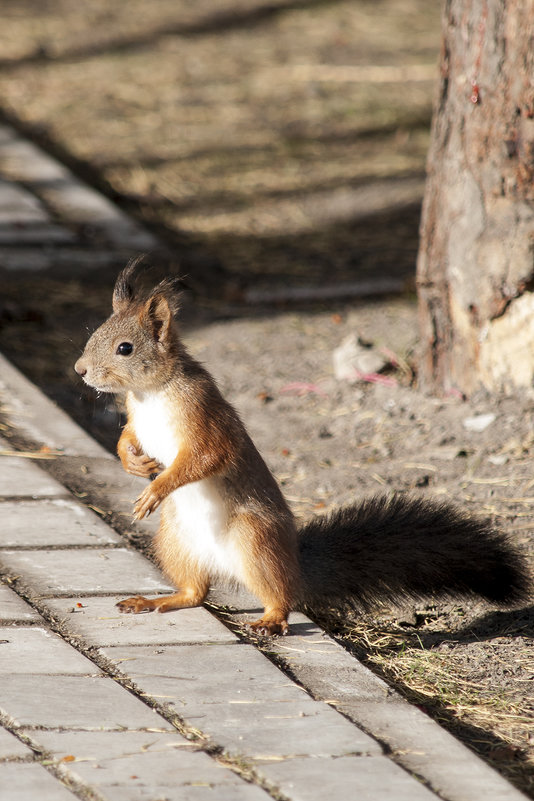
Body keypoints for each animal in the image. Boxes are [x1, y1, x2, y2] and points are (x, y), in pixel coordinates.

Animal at [74, 260, 532, 632]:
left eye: (125, 348)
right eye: (93, 335)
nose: (80, 370)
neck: (151, 391)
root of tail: (292, 563)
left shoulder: (203, 415)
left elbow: (205, 456)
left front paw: (155, 489)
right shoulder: (137, 418)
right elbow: (127, 438)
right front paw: (133, 463)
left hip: (255, 541)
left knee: (281, 595)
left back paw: (271, 620)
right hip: (175, 544)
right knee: (195, 593)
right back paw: (156, 600)